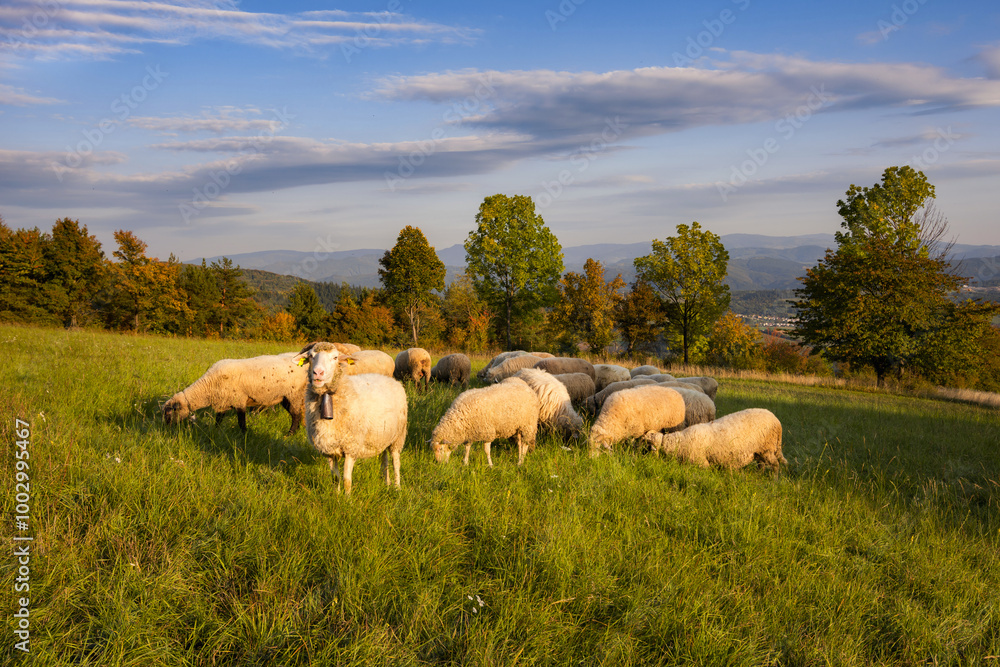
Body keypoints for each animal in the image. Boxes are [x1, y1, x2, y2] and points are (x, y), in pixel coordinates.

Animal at [163, 354, 307, 435]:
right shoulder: (222, 402)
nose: (166, 429)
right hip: (286, 397)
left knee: (295, 415)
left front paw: (244, 436)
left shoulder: (239, 400)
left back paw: (290, 433)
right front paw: (216, 431)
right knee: (298, 414)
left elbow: (241, 422)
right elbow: (218, 420)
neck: (208, 386)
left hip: (294, 394)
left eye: (169, 413)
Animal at [296, 342, 408, 495]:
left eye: (335, 357)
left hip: (398, 437)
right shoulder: (329, 450)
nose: (318, 373)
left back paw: (397, 487)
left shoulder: (351, 447)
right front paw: (336, 496)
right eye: (310, 356)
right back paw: (387, 484)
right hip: (382, 436)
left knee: (396, 462)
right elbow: (335, 478)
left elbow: (346, 480)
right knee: (384, 461)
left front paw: (347, 498)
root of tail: (393, 381)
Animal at [642, 408, 785, 473]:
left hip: (767, 448)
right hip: (760, 451)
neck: (678, 443)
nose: (641, 459)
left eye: (645, 445)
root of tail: (777, 421)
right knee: (762, 464)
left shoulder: (701, 463)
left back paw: (774, 480)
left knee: (775, 465)